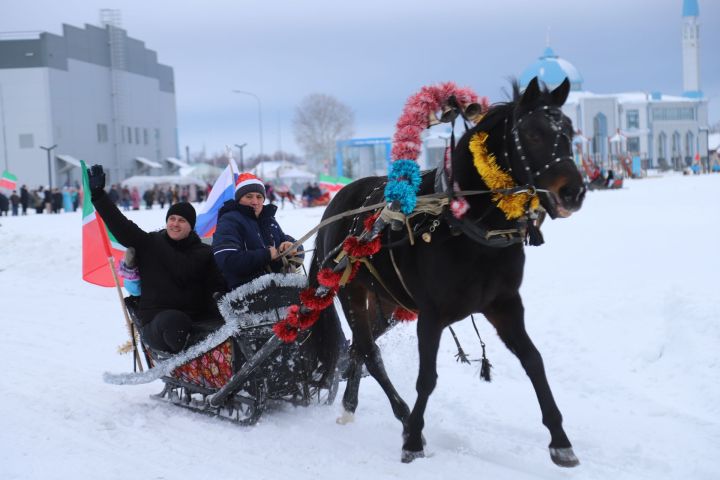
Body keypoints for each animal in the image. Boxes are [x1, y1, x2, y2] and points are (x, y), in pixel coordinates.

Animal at [312, 78, 588, 464]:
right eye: (533, 133)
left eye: (569, 131)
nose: (574, 191)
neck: (465, 225)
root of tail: (337, 204)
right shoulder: (432, 314)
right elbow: (426, 378)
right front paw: (413, 439)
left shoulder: (505, 305)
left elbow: (533, 360)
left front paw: (560, 439)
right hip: (350, 290)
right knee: (370, 352)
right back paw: (402, 415)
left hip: (387, 303)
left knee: (358, 347)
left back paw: (350, 406)